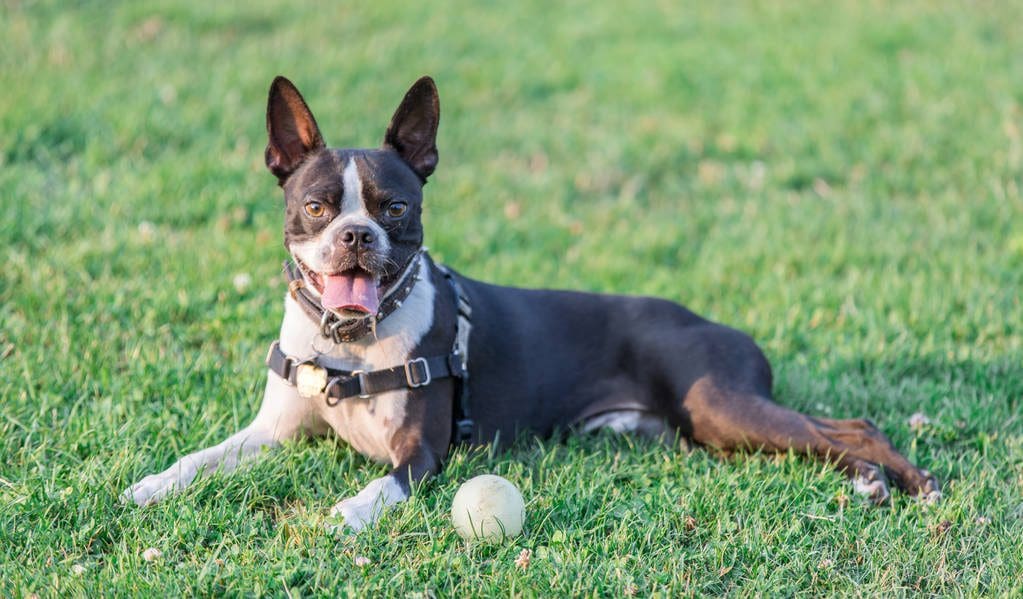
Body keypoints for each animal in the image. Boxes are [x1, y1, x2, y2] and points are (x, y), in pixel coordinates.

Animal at [121, 75, 941, 527]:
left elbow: (382, 485)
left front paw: (349, 511)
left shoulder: (422, 453)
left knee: (851, 425)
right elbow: (203, 457)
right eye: (317, 207)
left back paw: (906, 481)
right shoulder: (273, 431)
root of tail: (720, 326)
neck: (348, 343)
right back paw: (869, 480)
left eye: (395, 208)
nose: (355, 235)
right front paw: (153, 484)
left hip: (717, 404)